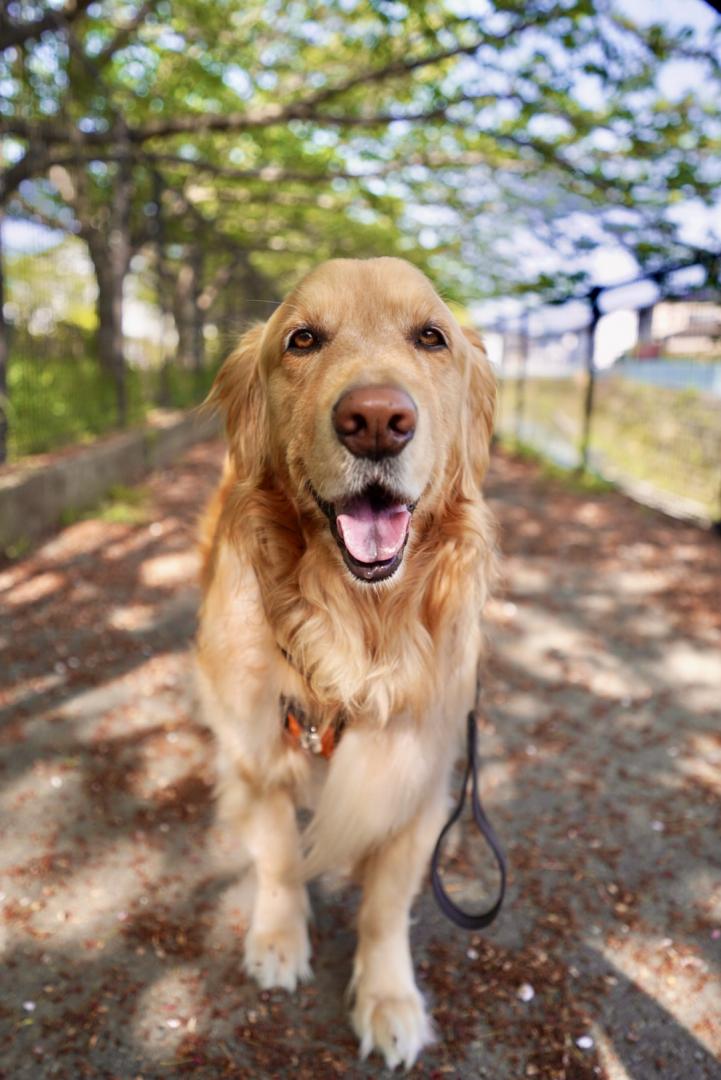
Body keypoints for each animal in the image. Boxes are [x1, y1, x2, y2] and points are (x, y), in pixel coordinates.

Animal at [197, 254, 498, 1071]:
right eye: (302, 339)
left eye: (431, 337)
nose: (375, 420)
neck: (353, 638)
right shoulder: (256, 757)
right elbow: (277, 859)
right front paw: (277, 938)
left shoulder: (419, 781)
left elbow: (386, 907)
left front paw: (389, 998)